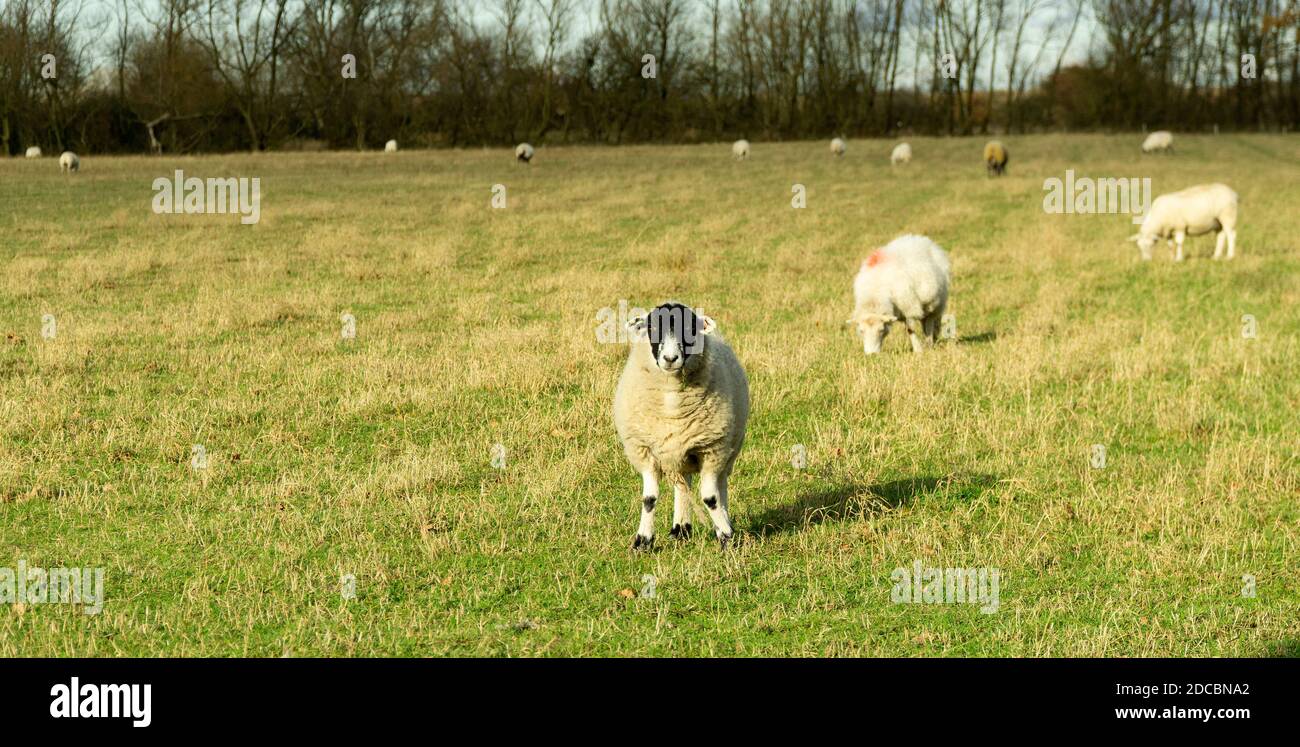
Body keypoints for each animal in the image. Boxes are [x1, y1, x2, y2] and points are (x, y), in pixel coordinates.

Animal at [614, 302, 750, 550]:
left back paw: (723, 522)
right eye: (652, 327)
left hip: (729, 450)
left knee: (721, 486)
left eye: (690, 327)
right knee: (682, 484)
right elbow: (649, 499)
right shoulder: (644, 450)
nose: (670, 358)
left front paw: (726, 537)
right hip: (679, 454)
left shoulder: (712, 449)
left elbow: (710, 498)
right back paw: (680, 529)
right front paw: (642, 541)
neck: (672, 403)